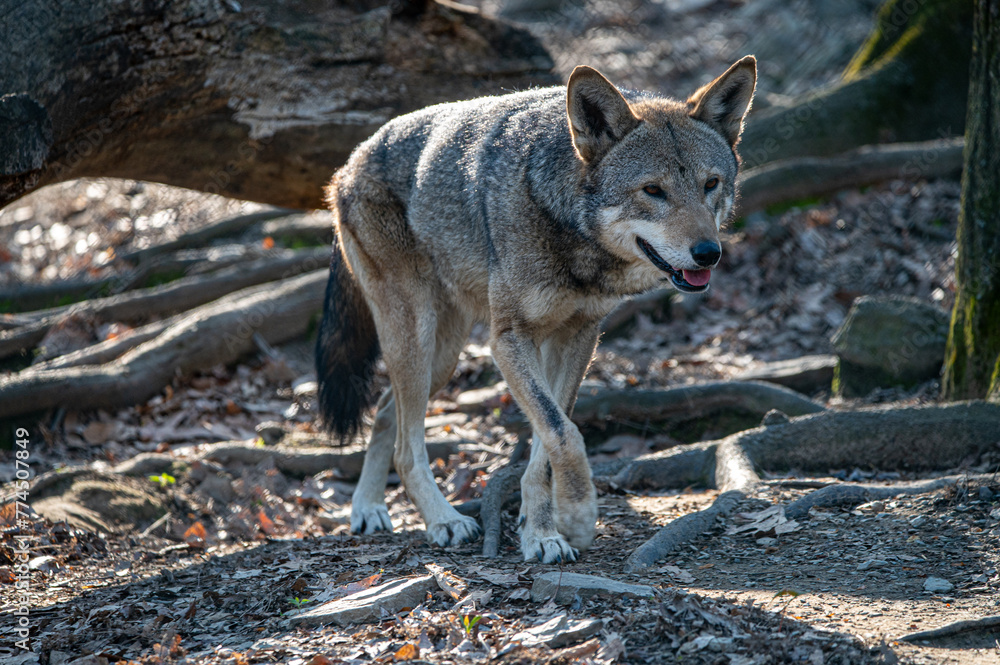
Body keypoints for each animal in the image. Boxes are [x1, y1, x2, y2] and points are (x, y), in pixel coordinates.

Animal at [316, 56, 756, 563]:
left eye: (711, 185)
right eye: (653, 190)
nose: (708, 253)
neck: (570, 232)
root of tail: (349, 162)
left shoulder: (578, 336)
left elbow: (549, 439)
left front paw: (540, 530)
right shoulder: (509, 339)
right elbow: (564, 434)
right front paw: (579, 517)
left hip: (441, 357)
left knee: (388, 412)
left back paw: (367, 507)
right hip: (417, 338)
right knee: (407, 446)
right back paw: (443, 520)